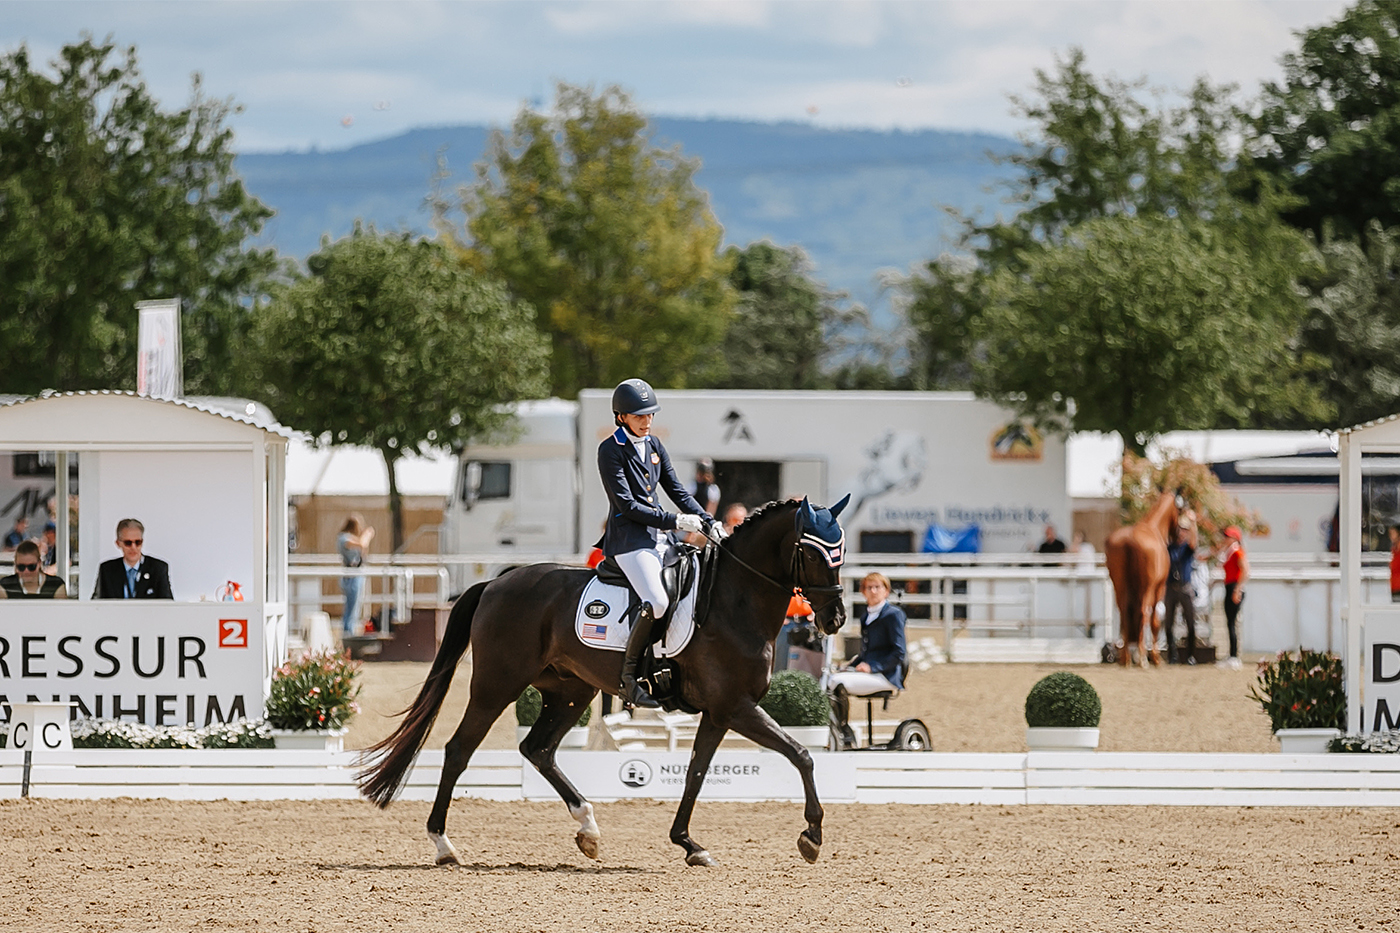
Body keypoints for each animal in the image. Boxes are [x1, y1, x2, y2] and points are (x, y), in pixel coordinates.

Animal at [355, 493, 845, 862]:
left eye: (839, 553)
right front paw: (811, 837)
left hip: (572, 691)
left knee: (538, 749)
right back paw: (443, 844)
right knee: (459, 750)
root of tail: (496, 583)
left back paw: (588, 828)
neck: (733, 601)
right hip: (498, 685)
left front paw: (689, 844)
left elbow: (696, 772)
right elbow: (802, 754)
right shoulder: (737, 707)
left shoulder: (720, 712)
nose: (836, 618)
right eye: (812, 552)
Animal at [1103, 481, 1181, 664]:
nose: (1178, 534)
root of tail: (1130, 539)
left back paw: (1125, 659)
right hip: (1147, 588)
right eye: (1179, 509)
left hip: (1119, 585)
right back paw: (1142, 658)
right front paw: (1155, 657)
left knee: (1124, 611)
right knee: (1144, 612)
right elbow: (1154, 621)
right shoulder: (1159, 587)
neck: (1153, 527)